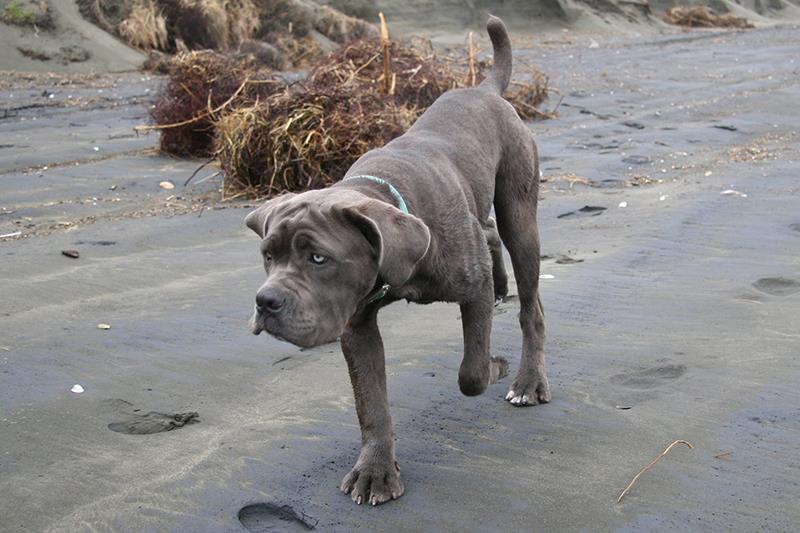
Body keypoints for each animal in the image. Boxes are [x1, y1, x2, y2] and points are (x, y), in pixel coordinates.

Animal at [245, 16, 552, 504]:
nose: (265, 302)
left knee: (531, 304)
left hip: (519, 211)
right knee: (487, 235)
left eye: (318, 258)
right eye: (268, 256)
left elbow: (471, 373)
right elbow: (372, 404)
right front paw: (375, 471)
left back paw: (527, 381)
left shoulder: (472, 291)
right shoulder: (357, 326)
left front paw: (494, 366)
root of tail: (484, 89)